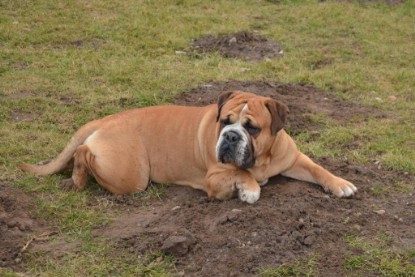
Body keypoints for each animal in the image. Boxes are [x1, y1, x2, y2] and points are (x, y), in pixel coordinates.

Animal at [18, 90, 358, 203]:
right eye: (224, 121)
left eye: (252, 128)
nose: (230, 136)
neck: (261, 158)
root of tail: (105, 119)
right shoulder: (214, 178)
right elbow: (243, 176)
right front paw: (249, 189)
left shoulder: (294, 158)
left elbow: (318, 168)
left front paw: (340, 184)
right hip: (131, 175)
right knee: (83, 153)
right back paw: (77, 177)